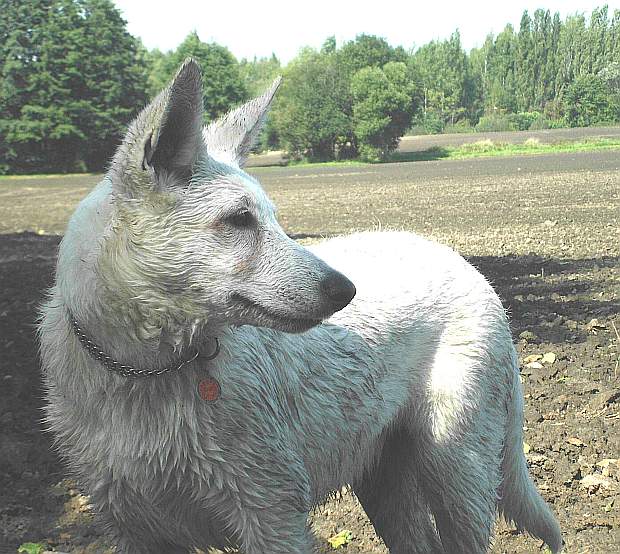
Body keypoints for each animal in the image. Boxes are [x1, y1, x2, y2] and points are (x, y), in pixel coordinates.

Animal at [38, 58, 560, 548]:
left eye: (272, 218)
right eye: (238, 219)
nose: (346, 290)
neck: (147, 371)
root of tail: (466, 265)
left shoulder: (272, 513)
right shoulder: (130, 525)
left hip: (457, 470)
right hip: (385, 480)